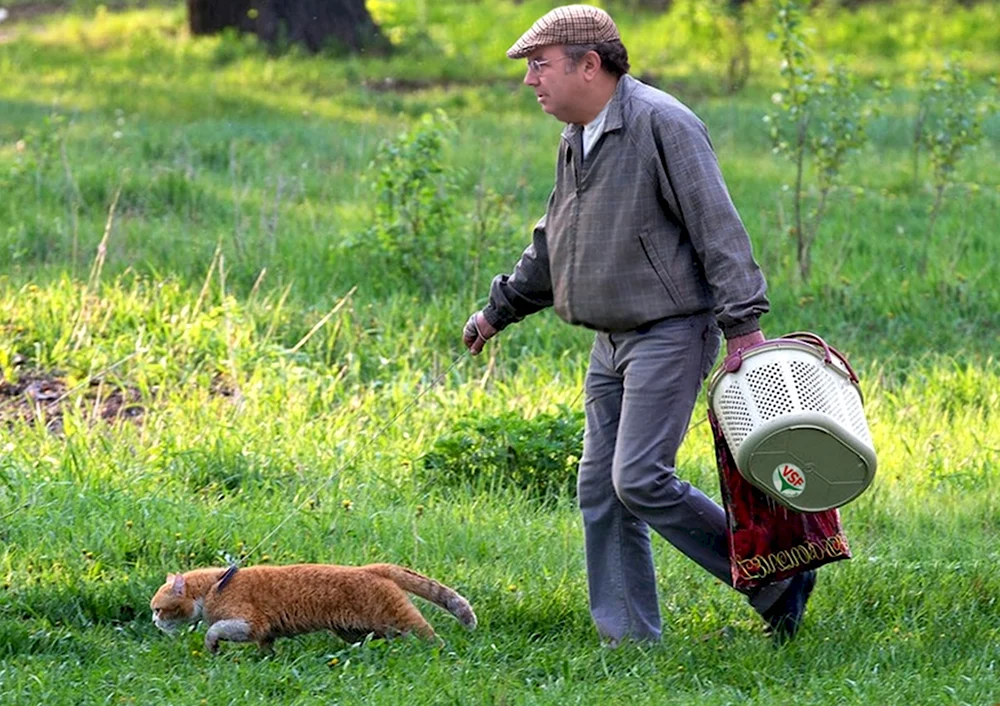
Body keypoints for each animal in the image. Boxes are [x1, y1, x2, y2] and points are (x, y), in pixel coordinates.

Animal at [148, 560, 476, 656]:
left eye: (159, 609)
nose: (153, 621)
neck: (215, 586)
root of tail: (372, 568)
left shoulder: (250, 622)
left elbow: (213, 630)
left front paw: (212, 646)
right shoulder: (265, 633)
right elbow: (266, 648)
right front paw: (266, 660)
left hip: (397, 619)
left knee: (428, 635)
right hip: (355, 630)